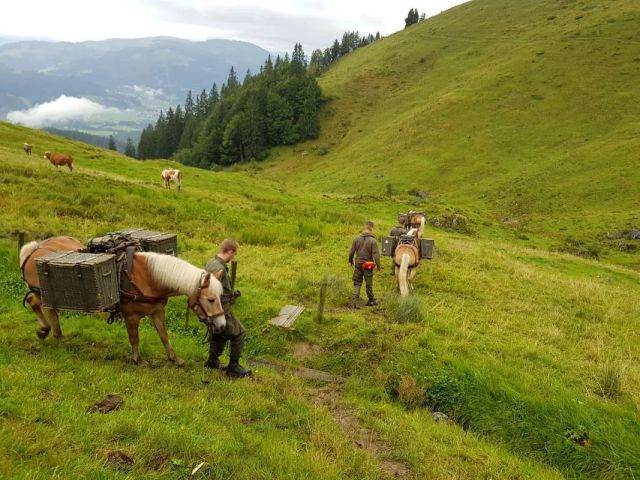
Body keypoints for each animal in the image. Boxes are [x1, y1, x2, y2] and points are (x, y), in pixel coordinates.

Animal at [20, 235, 226, 364]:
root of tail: (34, 249)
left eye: (219, 297)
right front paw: (137, 359)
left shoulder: (157, 311)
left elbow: (164, 336)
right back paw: (51, 333)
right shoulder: (131, 317)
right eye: (211, 300)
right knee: (42, 306)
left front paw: (174, 358)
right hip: (42, 291)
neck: (148, 277)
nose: (222, 324)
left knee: (40, 306)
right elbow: (134, 338)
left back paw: (50, 332)